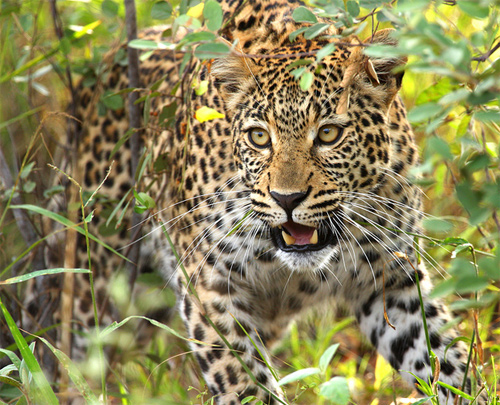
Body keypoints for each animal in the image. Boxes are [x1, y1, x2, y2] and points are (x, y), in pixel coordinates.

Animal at [23, 0, 488, 404]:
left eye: (329, 134)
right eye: (259, 137)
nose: (288, 198)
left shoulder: (392, 277)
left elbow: (448, 362)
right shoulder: (211, 286)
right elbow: (245, 384)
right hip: (92, 287)